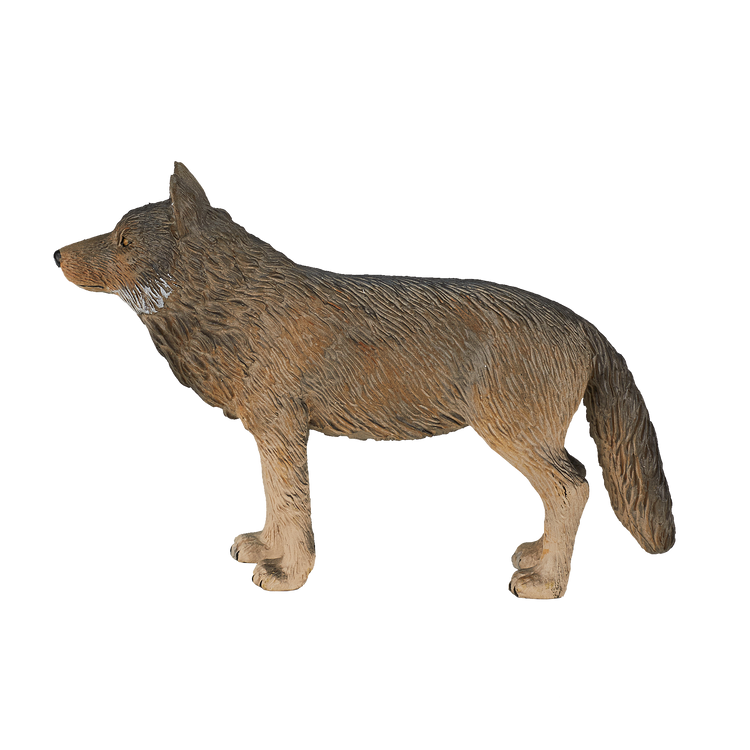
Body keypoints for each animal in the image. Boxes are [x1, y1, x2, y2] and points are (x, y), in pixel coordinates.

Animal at [53, 160, 677, 598]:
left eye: (123, 240)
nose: (56, 254)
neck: (230, 303)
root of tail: (585, 325)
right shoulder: (267, 435)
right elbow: (273, 500)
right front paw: (264, 548)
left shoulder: (283, 431)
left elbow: (294, 504)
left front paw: (288, 574)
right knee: (564, 493)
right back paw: (538, 557)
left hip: (514, 440)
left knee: (574, 488)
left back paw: (548, 583)